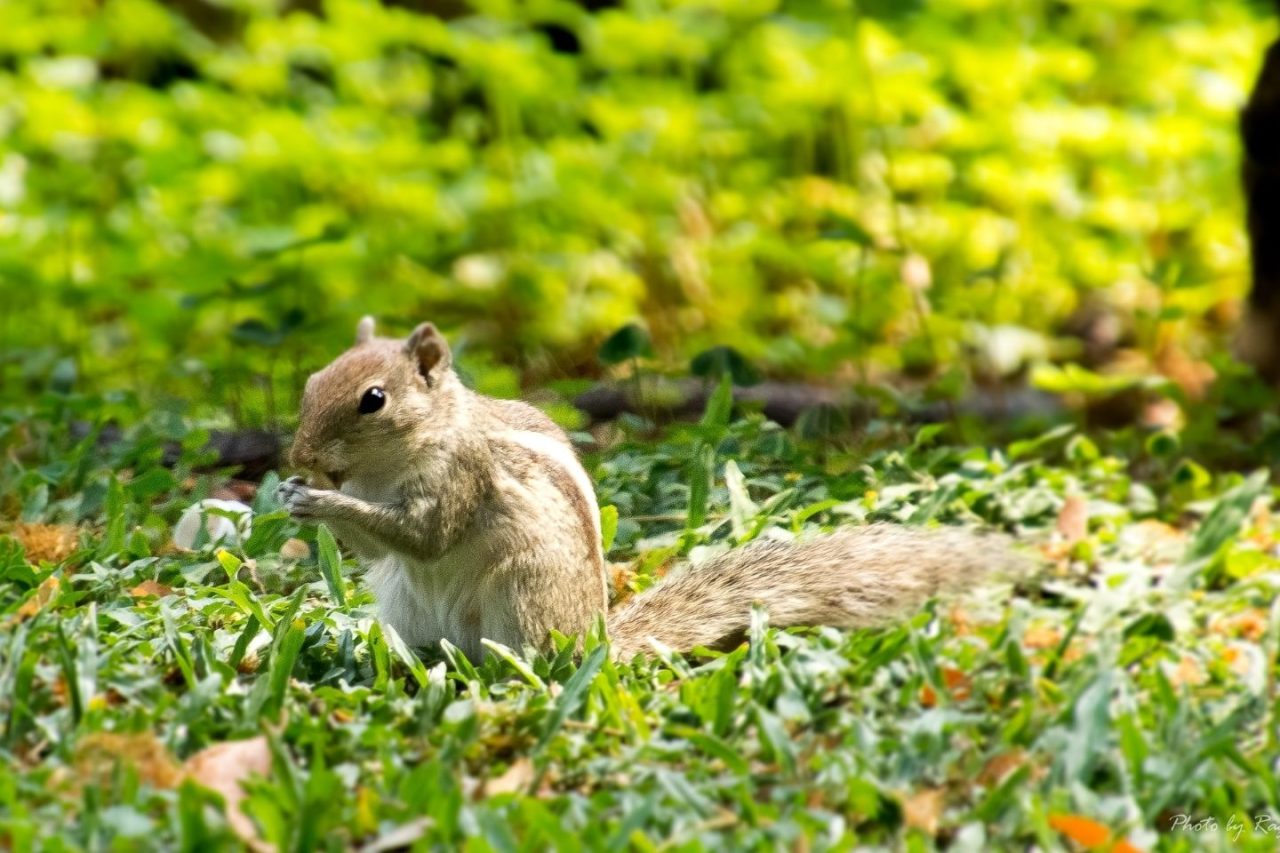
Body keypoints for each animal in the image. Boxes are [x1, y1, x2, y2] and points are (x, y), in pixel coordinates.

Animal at [280, 317, 1018, 655]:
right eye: (312, 380)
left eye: (373, 399)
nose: (301, 453)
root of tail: (596, 642)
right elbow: (381, 548)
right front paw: (294, 493)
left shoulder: (461, 480)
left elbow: (424, 535)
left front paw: (319, 498)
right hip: (404, 602)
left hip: (518, 590)